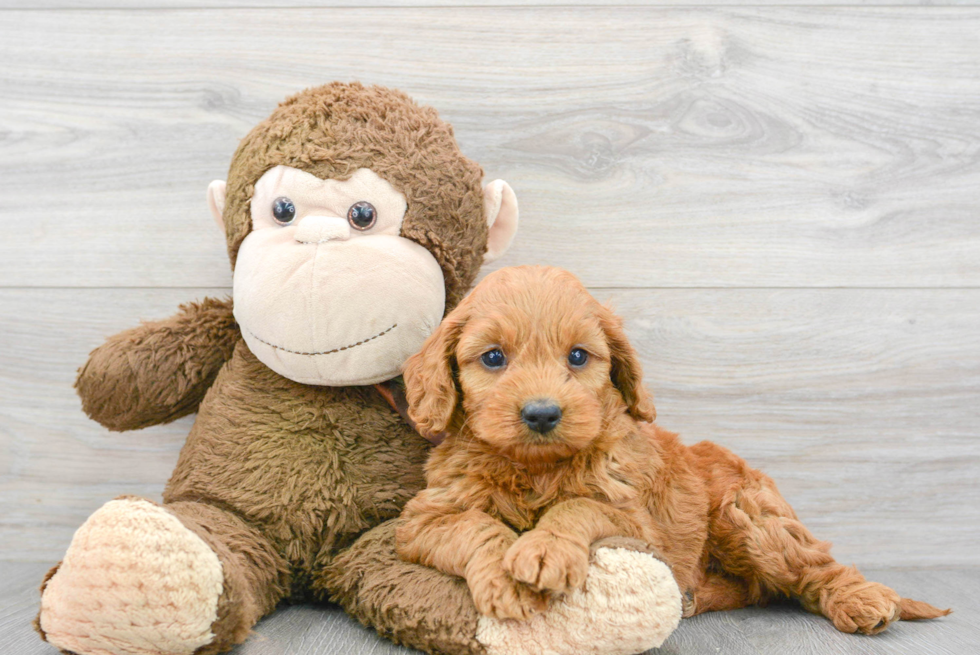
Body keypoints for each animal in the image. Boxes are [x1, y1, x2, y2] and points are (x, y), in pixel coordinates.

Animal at [394, 266, 944, 636]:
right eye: (493, 358)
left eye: (578, 356)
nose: (543, 414)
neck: (537, 469)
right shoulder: (424, 519)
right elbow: (476, 526)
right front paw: (503, 580)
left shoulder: (637, 522)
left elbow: (579, 505)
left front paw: (545, 547)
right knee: (756, 588)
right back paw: (695, 595)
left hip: (750, 517)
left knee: (813, 566)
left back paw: (864, 600)